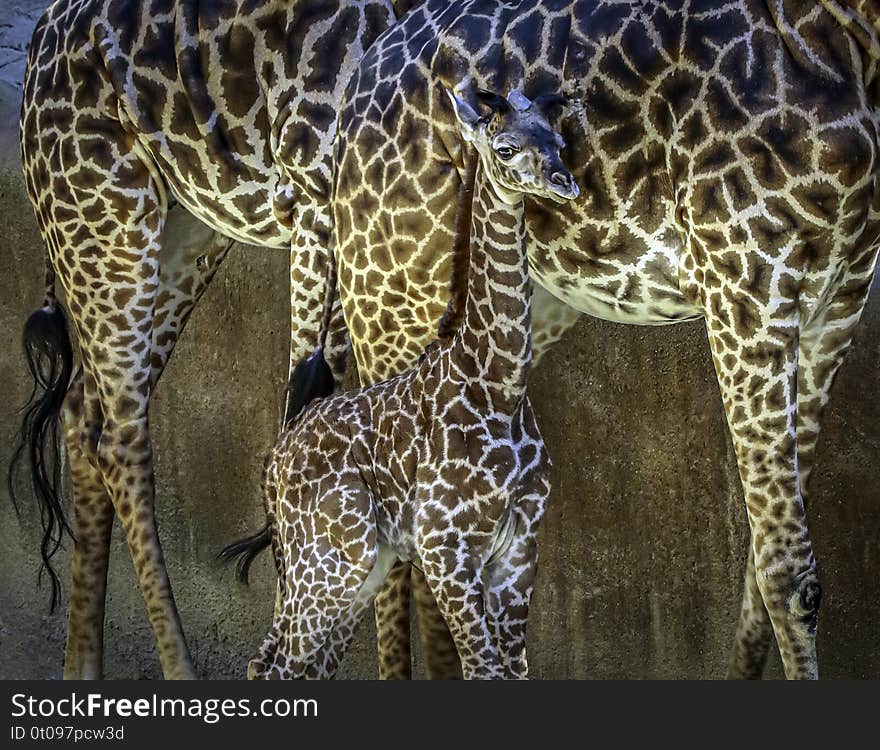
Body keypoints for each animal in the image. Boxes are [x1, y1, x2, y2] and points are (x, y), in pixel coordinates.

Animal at [251, 83, 580, 680]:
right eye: (505, 148)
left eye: (559, 140)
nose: (564, 182)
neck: (498, 387)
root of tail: (273, 461)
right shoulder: (445, 550)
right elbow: (483, 669)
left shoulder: (520, 554)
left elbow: (514, 671)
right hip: (334, 558)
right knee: (282, 663)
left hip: (357, 564)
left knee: (289, 659)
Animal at [334, 0, 880, 680]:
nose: (566, 178)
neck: (842, 41)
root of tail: (358, 81)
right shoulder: (749, 283)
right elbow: (788, 572)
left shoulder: (840, 303)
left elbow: (763, 563)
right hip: (393, 293)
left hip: (522, 310)